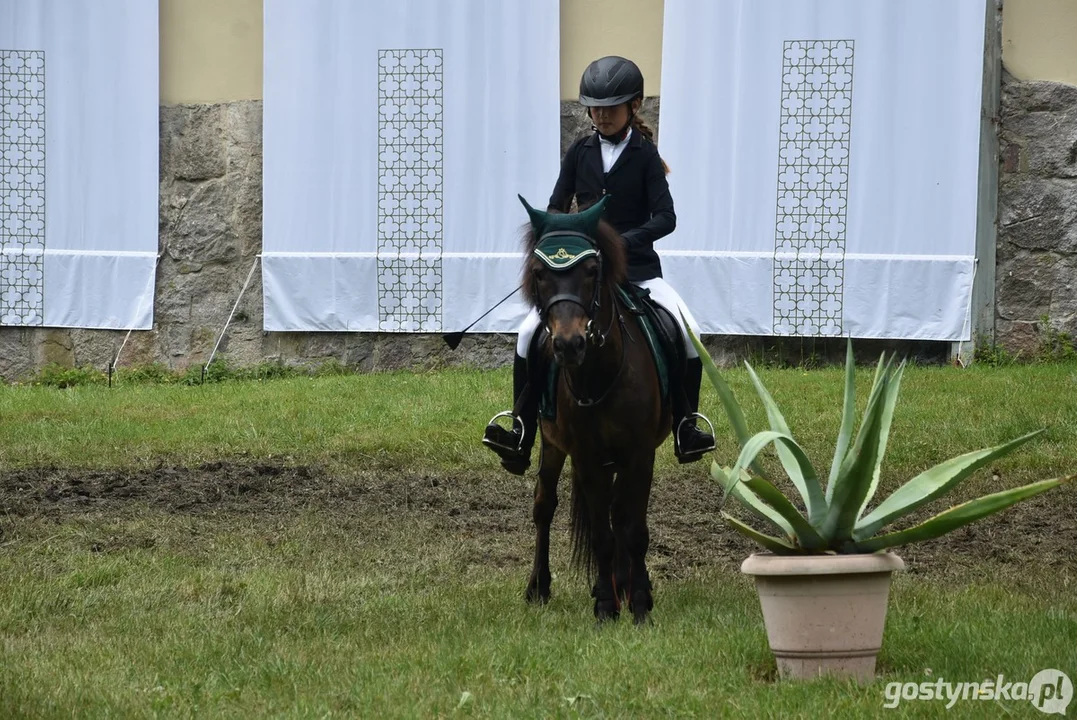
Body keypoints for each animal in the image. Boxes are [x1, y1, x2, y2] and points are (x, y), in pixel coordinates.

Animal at [514, 194, 672, 624]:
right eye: (539, 273)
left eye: (591, 270)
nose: (569, 345)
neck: (600, 375)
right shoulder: (584, 455)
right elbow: (603, 533)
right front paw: (605, 606)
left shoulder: (640, 453)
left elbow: (633, 529)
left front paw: (639, 604)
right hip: (553, 445)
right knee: (544, 506)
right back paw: (539, 587)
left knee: (622, 514)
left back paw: (628, 584)